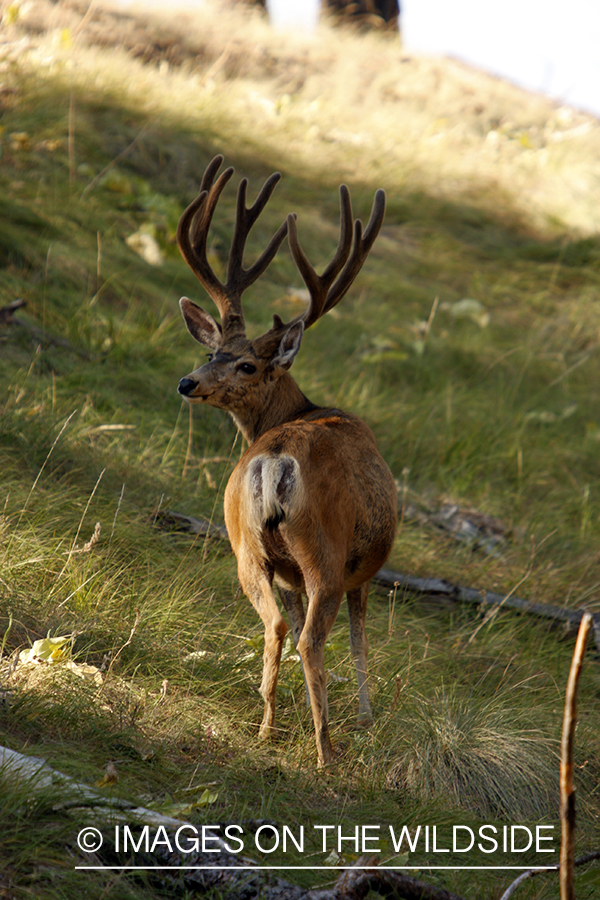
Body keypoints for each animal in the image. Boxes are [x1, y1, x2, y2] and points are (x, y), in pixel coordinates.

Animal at [176, 155, 397, 767]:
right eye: (212, 353)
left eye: (244, 363)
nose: (188, 382)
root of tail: (274, 459)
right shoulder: (363, 570)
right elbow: (361, 640)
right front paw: (366, 718)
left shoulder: (288, 571)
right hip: (325, 550)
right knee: (310, 638)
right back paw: (326, 751)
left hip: (245, 544)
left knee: (276, 625)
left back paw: (267, 728)